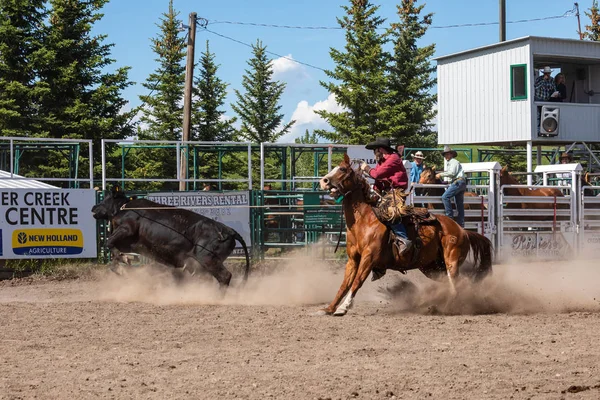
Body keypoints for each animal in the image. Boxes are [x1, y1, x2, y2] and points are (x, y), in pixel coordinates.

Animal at [318, 154, 492, 316]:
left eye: (342, 169)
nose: (323, 181)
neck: (364, 221)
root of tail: (462, 230)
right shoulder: (353, 259)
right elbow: (344, 284)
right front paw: (329, 308)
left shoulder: (369, 257)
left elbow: (357, 282)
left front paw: (343, 308)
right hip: (432, 267)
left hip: (451, 261)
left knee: (457, 283)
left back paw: (451, 306)